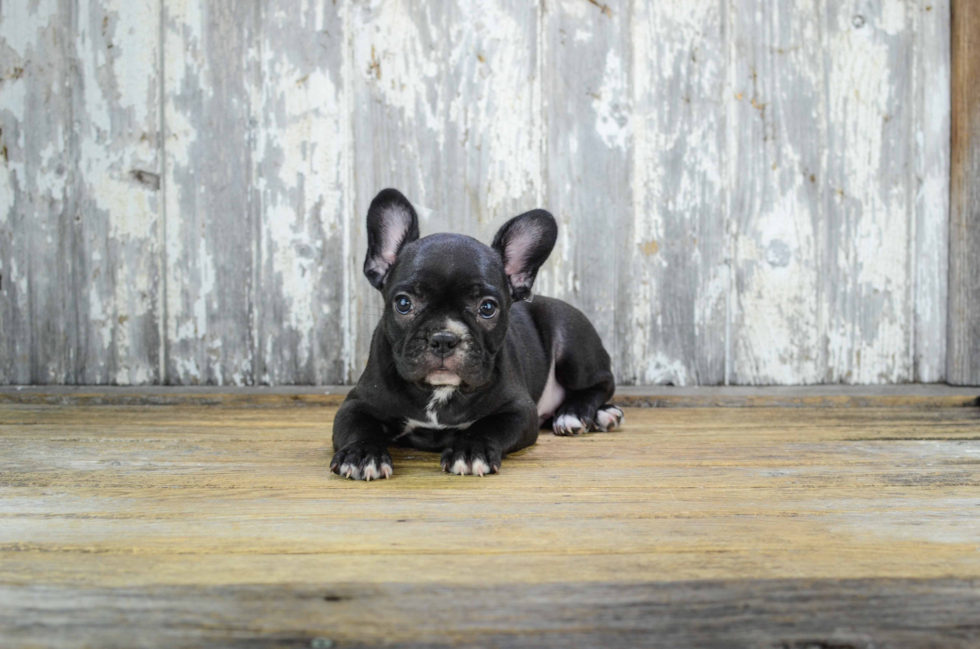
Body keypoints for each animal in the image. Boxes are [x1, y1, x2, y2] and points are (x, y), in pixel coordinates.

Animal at [330, 186, 620, 476]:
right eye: (403, 303)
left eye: (487, 308)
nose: (444, 338)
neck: (438, 391)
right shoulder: (356, 404)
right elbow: (359, 428)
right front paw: (362, 453)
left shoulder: (519, 410)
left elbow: (488, 426)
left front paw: (470, 450)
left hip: (570, 341)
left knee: (601, 382)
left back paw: (579, 413)